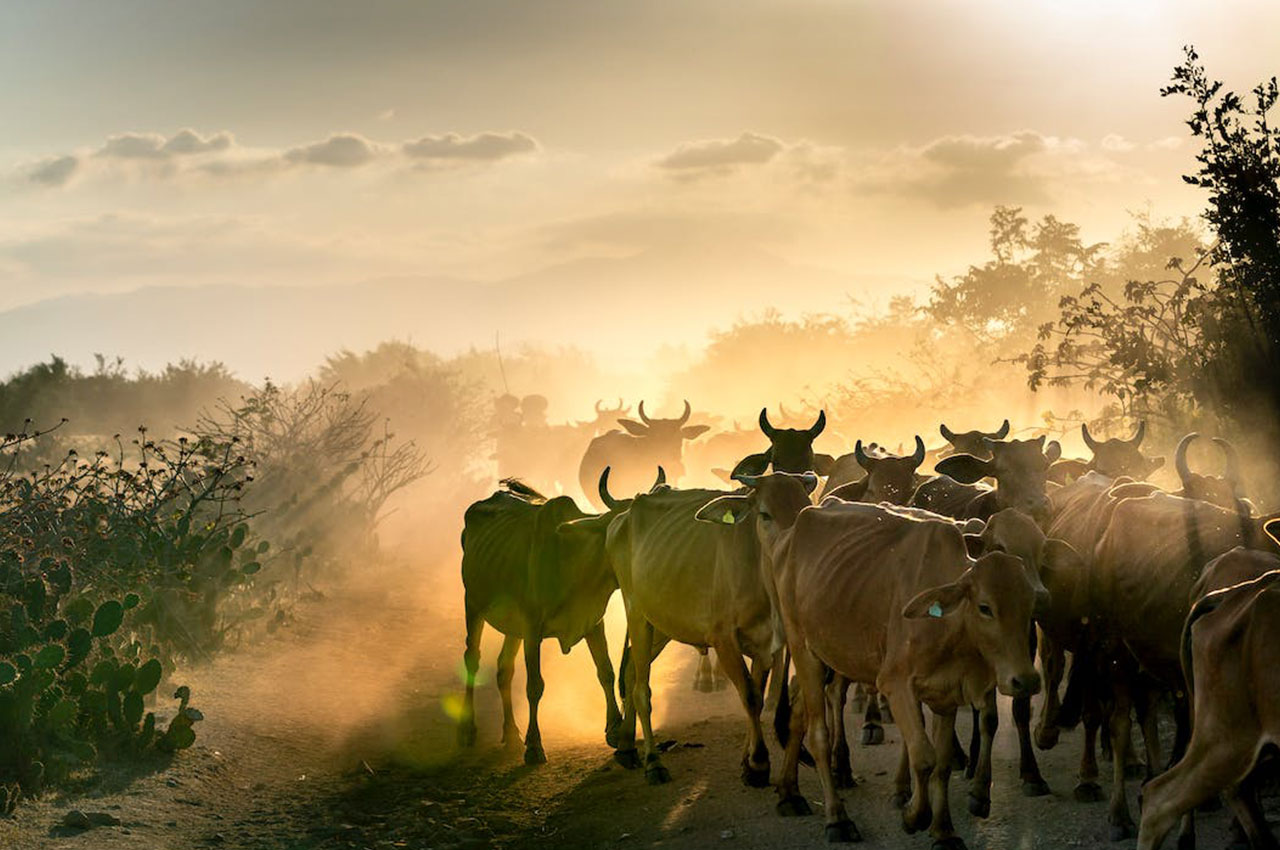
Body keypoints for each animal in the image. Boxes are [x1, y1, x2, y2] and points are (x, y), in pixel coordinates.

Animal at [458, 473, 660, 768]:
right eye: (621, 529)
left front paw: (613, 729)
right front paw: (534, 746)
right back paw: (468, 730)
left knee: (504, 669)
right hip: (472, 604)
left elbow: (606, 671)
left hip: (512, 627)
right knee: (472, 658)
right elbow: (535, 686)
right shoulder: (532, 630)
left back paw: (511, 733)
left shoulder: (592, 622)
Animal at [611, 468, 819, 788]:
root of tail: (626, 514)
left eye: (804, 508)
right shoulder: (724, 641)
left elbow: (757, 696)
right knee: (640, 688)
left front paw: (748, 761)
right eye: (765, 514)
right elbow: (749, 697)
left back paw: (625, 746)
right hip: (637, 613)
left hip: (662, 623)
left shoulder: (765, 645)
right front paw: (759, 763)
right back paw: (653, 762)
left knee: (632, 671)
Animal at [752, 499, 1044, 844]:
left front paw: (944, 830)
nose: (1026, 680)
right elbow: (924, 757)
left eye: (1029, 605)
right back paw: (837, 817)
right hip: (802, 646)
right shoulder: (895, 684)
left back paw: (789, 792)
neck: (947, 625)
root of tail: (788, 535)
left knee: (799, 714)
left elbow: (942, 764)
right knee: (818, 733)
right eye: (985, 608)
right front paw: (914, 815)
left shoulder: (947, 692)